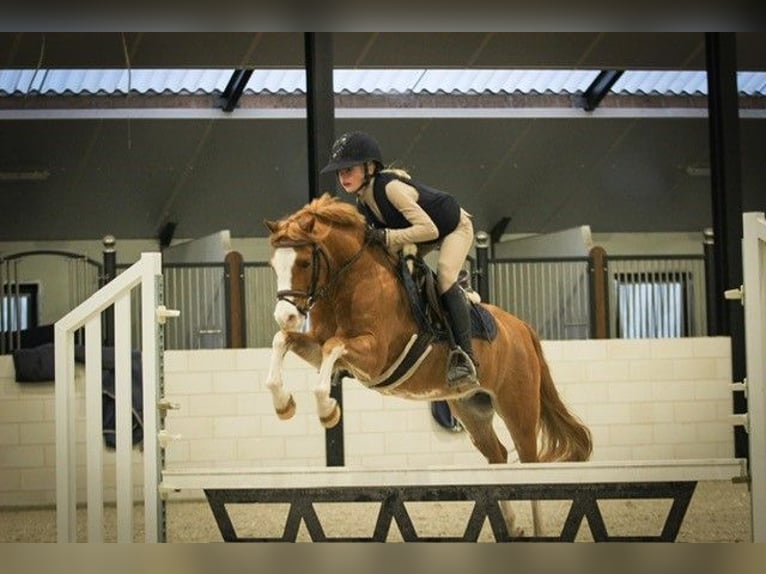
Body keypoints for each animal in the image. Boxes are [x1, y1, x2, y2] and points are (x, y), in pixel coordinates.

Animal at [264, 196, 592, 536]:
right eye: (273, 265)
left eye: (304, 263)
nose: (285, 315)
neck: (351, 279)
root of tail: (522, 328)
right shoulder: (321, 348)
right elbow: (283, 341)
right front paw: (284, 404)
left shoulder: (375, 356)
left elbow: (333, 346)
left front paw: (328, 410)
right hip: (472, 409)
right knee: (498, 455)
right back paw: (512, 528)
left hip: (518, 407)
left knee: (530, 466)